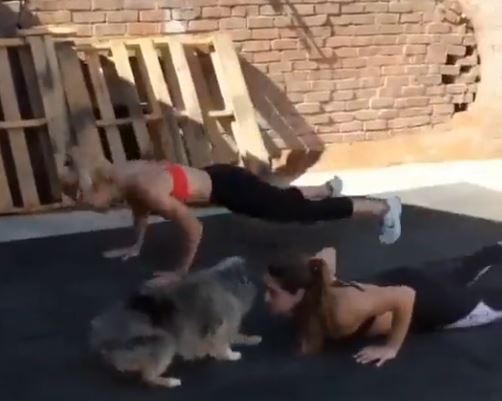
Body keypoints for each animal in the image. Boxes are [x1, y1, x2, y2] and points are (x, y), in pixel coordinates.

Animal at [90, 256, 260, 388]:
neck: (226, 283)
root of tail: (104, 340)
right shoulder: (223, 325)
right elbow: (225, 344)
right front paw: (231, 354)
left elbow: (235, 337)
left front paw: (250, 339)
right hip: (163, 341)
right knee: (148, 377)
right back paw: (169, 381)